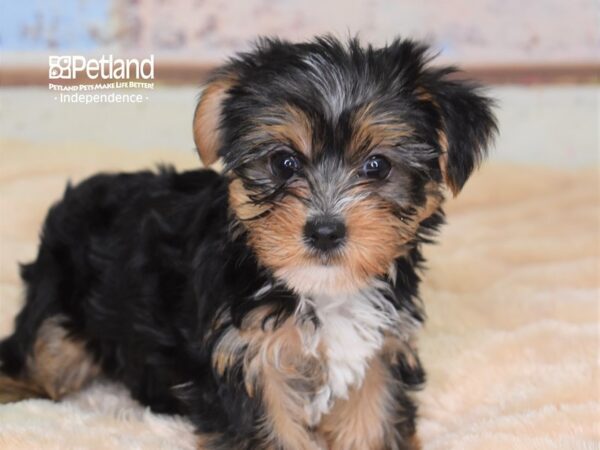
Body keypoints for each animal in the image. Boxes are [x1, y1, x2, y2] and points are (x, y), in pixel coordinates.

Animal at [0, 37, 496, 448]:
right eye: (284, 162)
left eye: (377, 166)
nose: (325, 230)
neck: (316, 289)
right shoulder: (244, 357)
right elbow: (267, 428)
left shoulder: (379, 351)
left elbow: (372, 419)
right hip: (61, 300)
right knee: (38, 355)